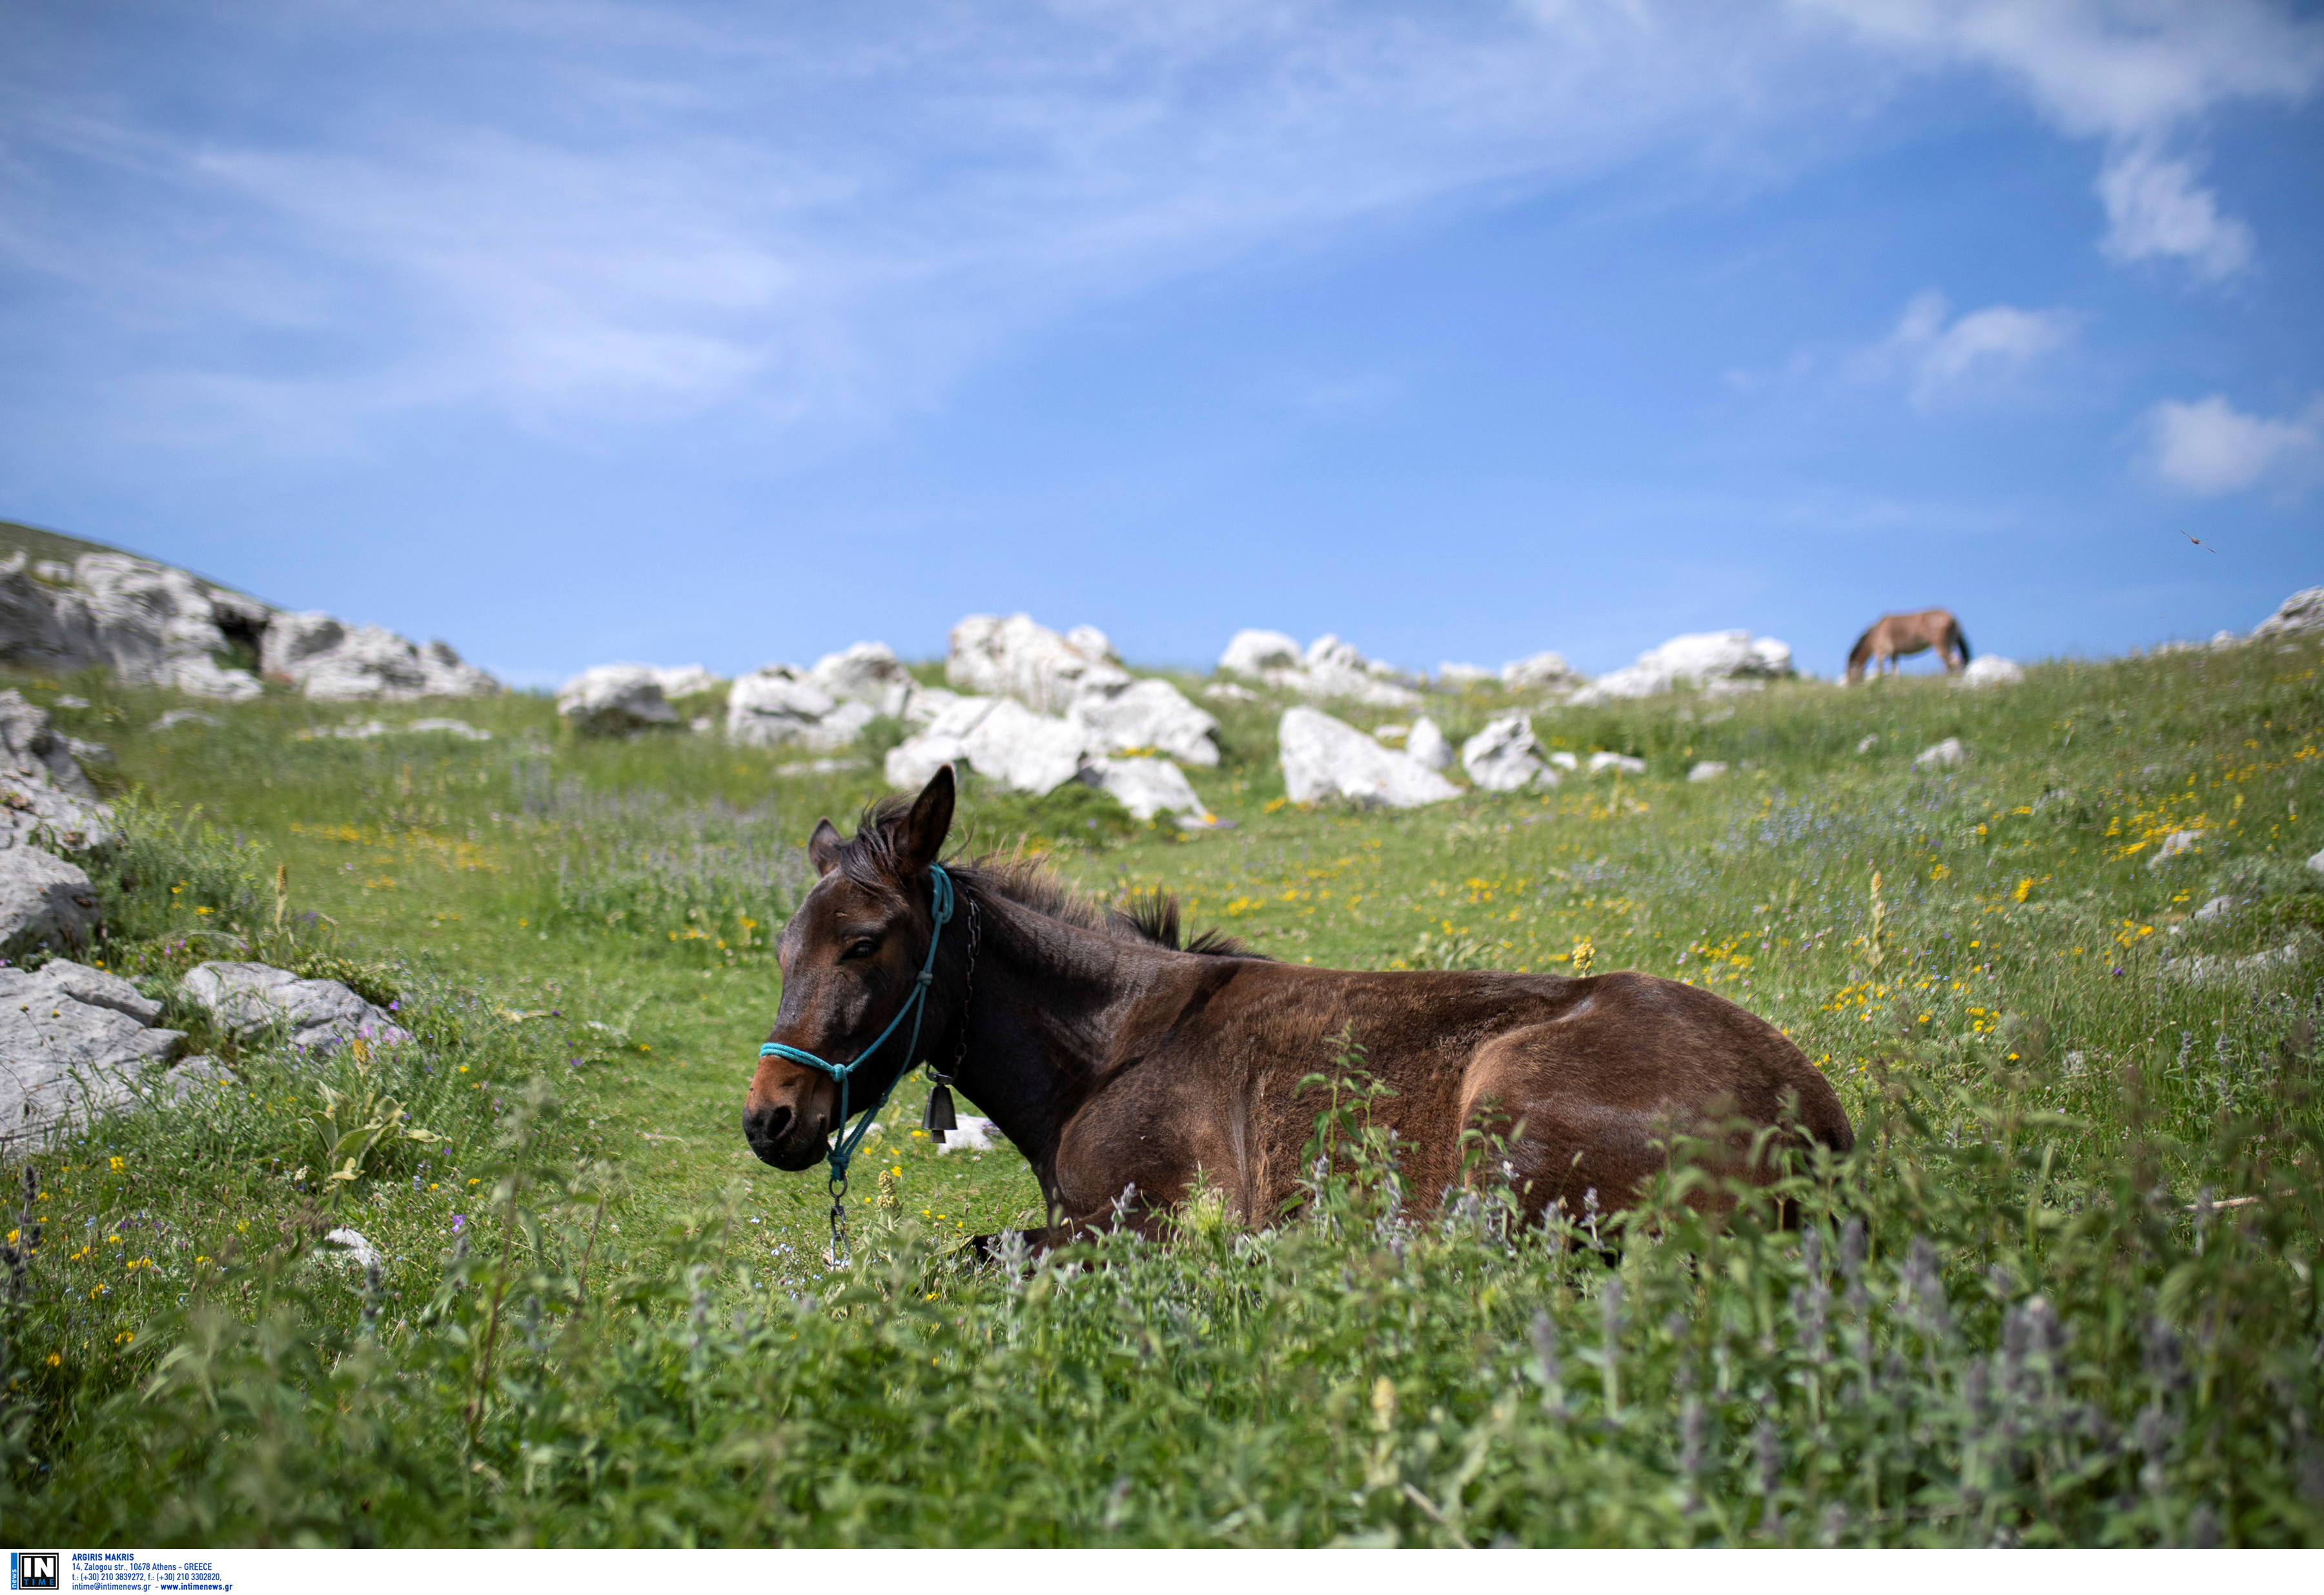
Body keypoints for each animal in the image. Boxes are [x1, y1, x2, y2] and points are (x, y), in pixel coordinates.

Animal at [739, 767, 1850, 1246]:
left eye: (863, 944)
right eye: (783, 950)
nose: (768, 1118)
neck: (1108, 1053)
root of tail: (1825, 1129)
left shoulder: (1148, 1215)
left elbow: (978, 1254)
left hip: (1506, 1103)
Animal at [1840, 609, 1970, 684]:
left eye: (1850, 675)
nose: (1851, 688)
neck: (1876, 633)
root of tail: (1953, 619)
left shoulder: (1881, 654)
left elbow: (1881, 672)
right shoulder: (1894, 654)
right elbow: (1896, 673)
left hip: (1941, 646)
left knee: (1951, 663)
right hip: (1950, 644)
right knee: (1957, 662)